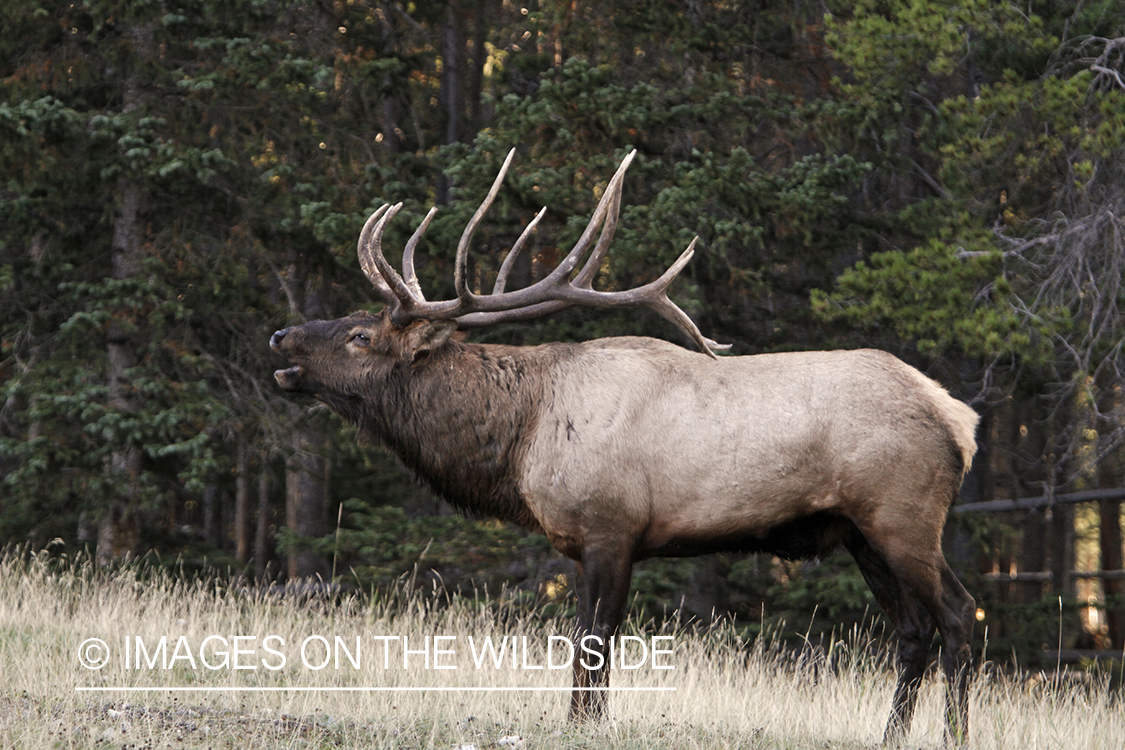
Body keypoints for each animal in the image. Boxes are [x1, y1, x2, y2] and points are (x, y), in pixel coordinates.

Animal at [270, 149, 979, 746]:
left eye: (360, 335)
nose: (281, 337)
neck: (521, 440)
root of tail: (960, 421)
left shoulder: (612, 527)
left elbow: (595, 640)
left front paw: (585, 725)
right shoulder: (588, 543)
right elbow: (586, 643)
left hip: (904, 516)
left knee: (957, 615)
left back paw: (954, 734)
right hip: (858, 532)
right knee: (912, 631)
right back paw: (889, 736)